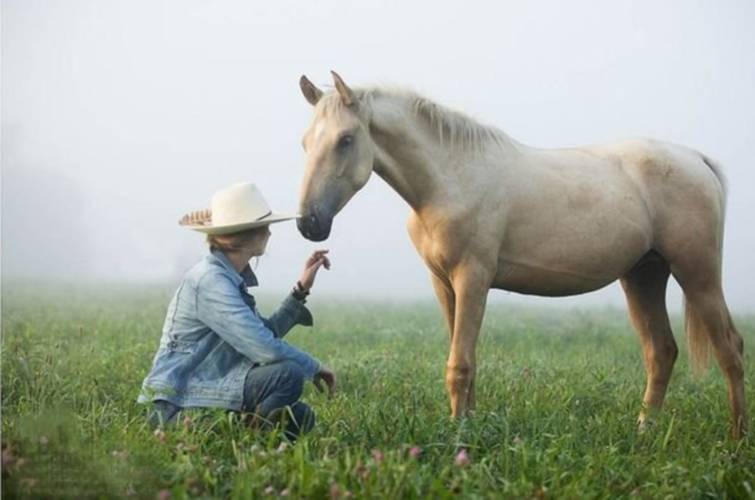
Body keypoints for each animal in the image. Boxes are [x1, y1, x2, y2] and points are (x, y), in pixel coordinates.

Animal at [296, 70, 752, 438]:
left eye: (345, 140)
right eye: (305, 142)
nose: (308, 223)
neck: (451, 178)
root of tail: (697, 159)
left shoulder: (473, 278)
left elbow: (459, 365)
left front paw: (459, 436)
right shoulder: (444, 283)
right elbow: (467, 361)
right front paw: (468, 426)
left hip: (697, 273)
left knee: (729, 347)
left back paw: (735, 438)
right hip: (644, 275)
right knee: (661, 352)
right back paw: (644, 431)